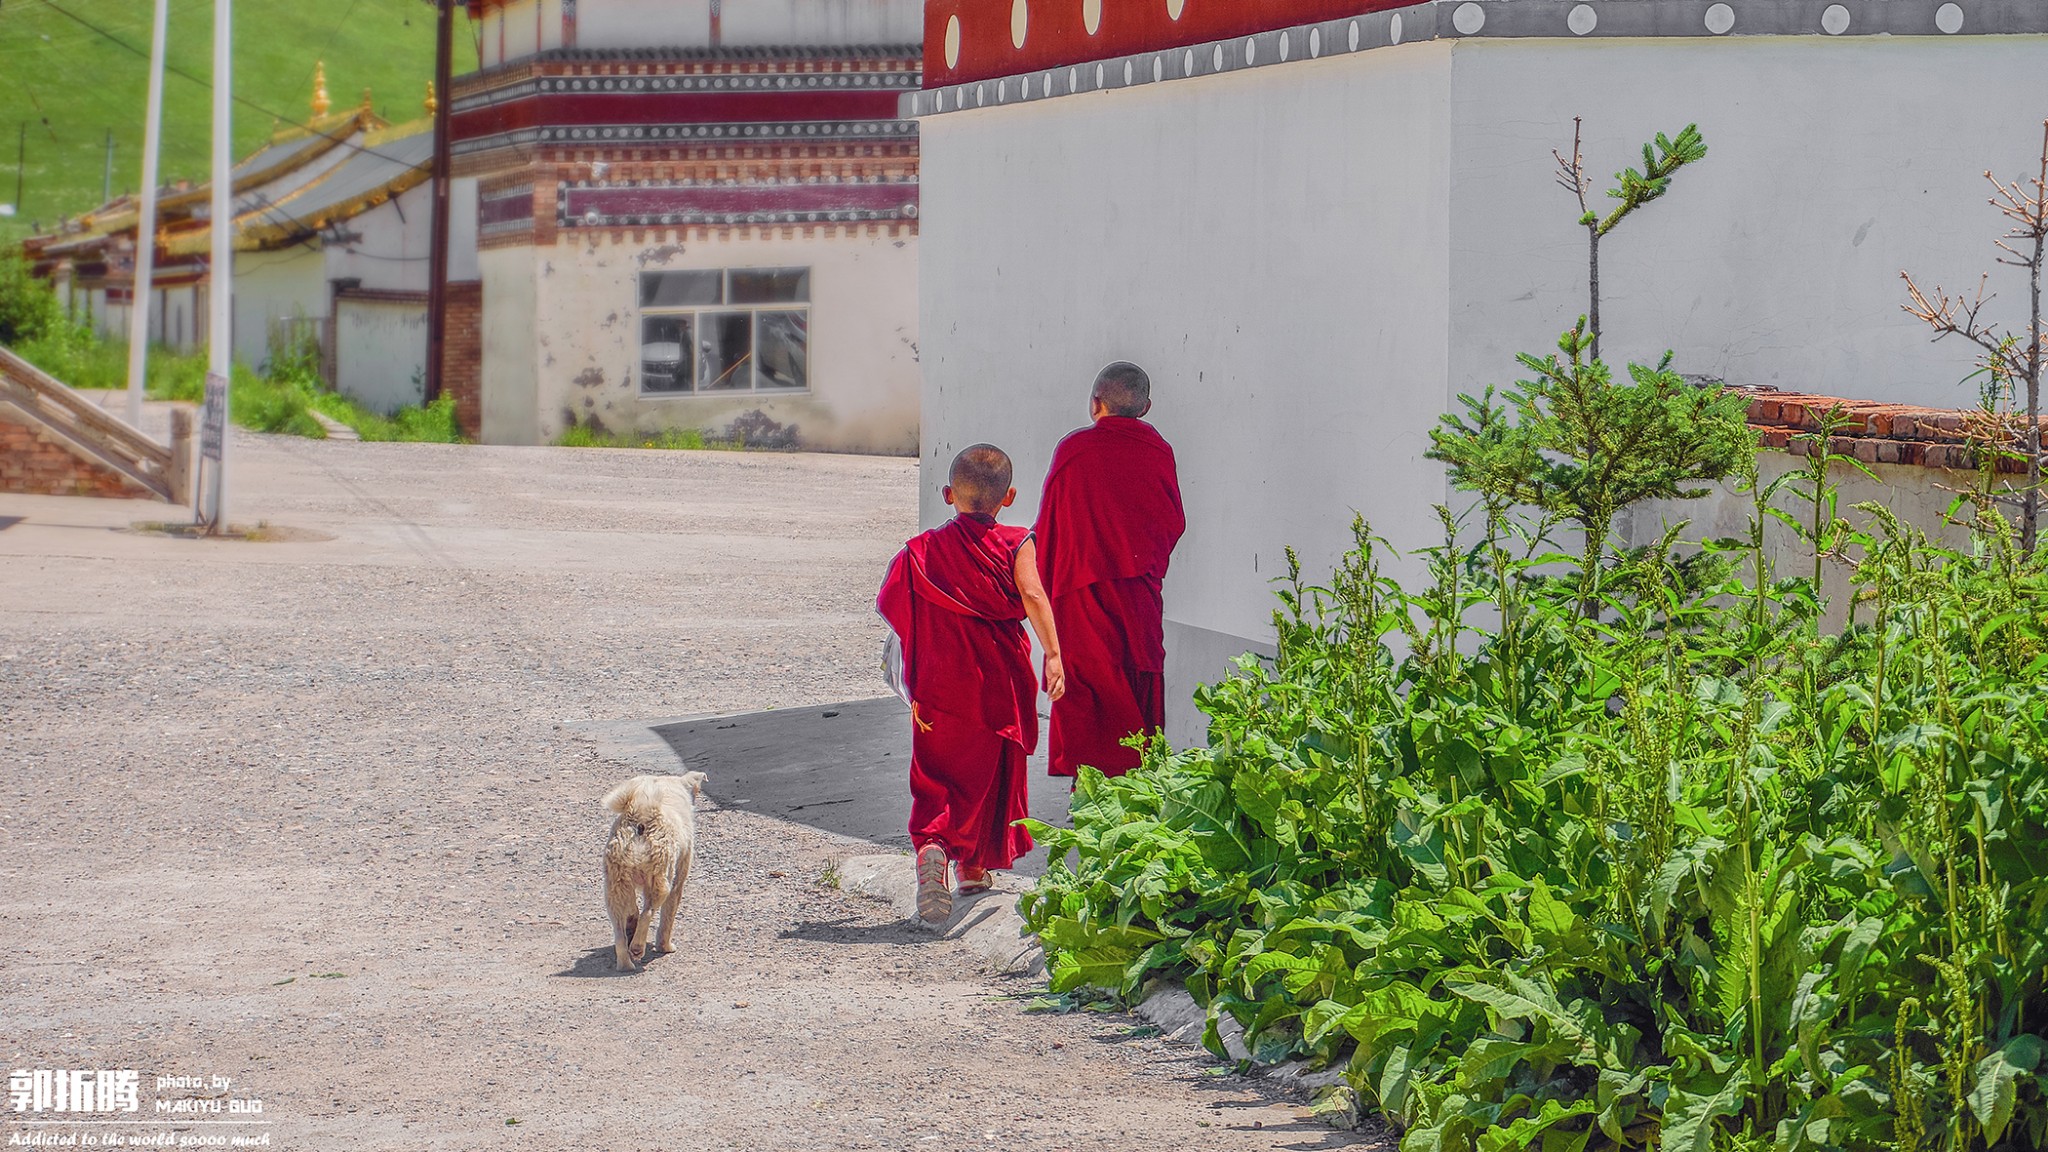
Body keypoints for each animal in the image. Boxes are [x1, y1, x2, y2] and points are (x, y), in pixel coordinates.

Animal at [598, 770, 704, 967]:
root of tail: (641, 815)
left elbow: (636, 910)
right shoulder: (677, 882)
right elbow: (667, 919)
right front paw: (665, 947)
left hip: (615, 885)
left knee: (621, 929)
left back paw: (625, 961)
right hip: (661, 881)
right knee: (647, 913)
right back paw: (637, 948)